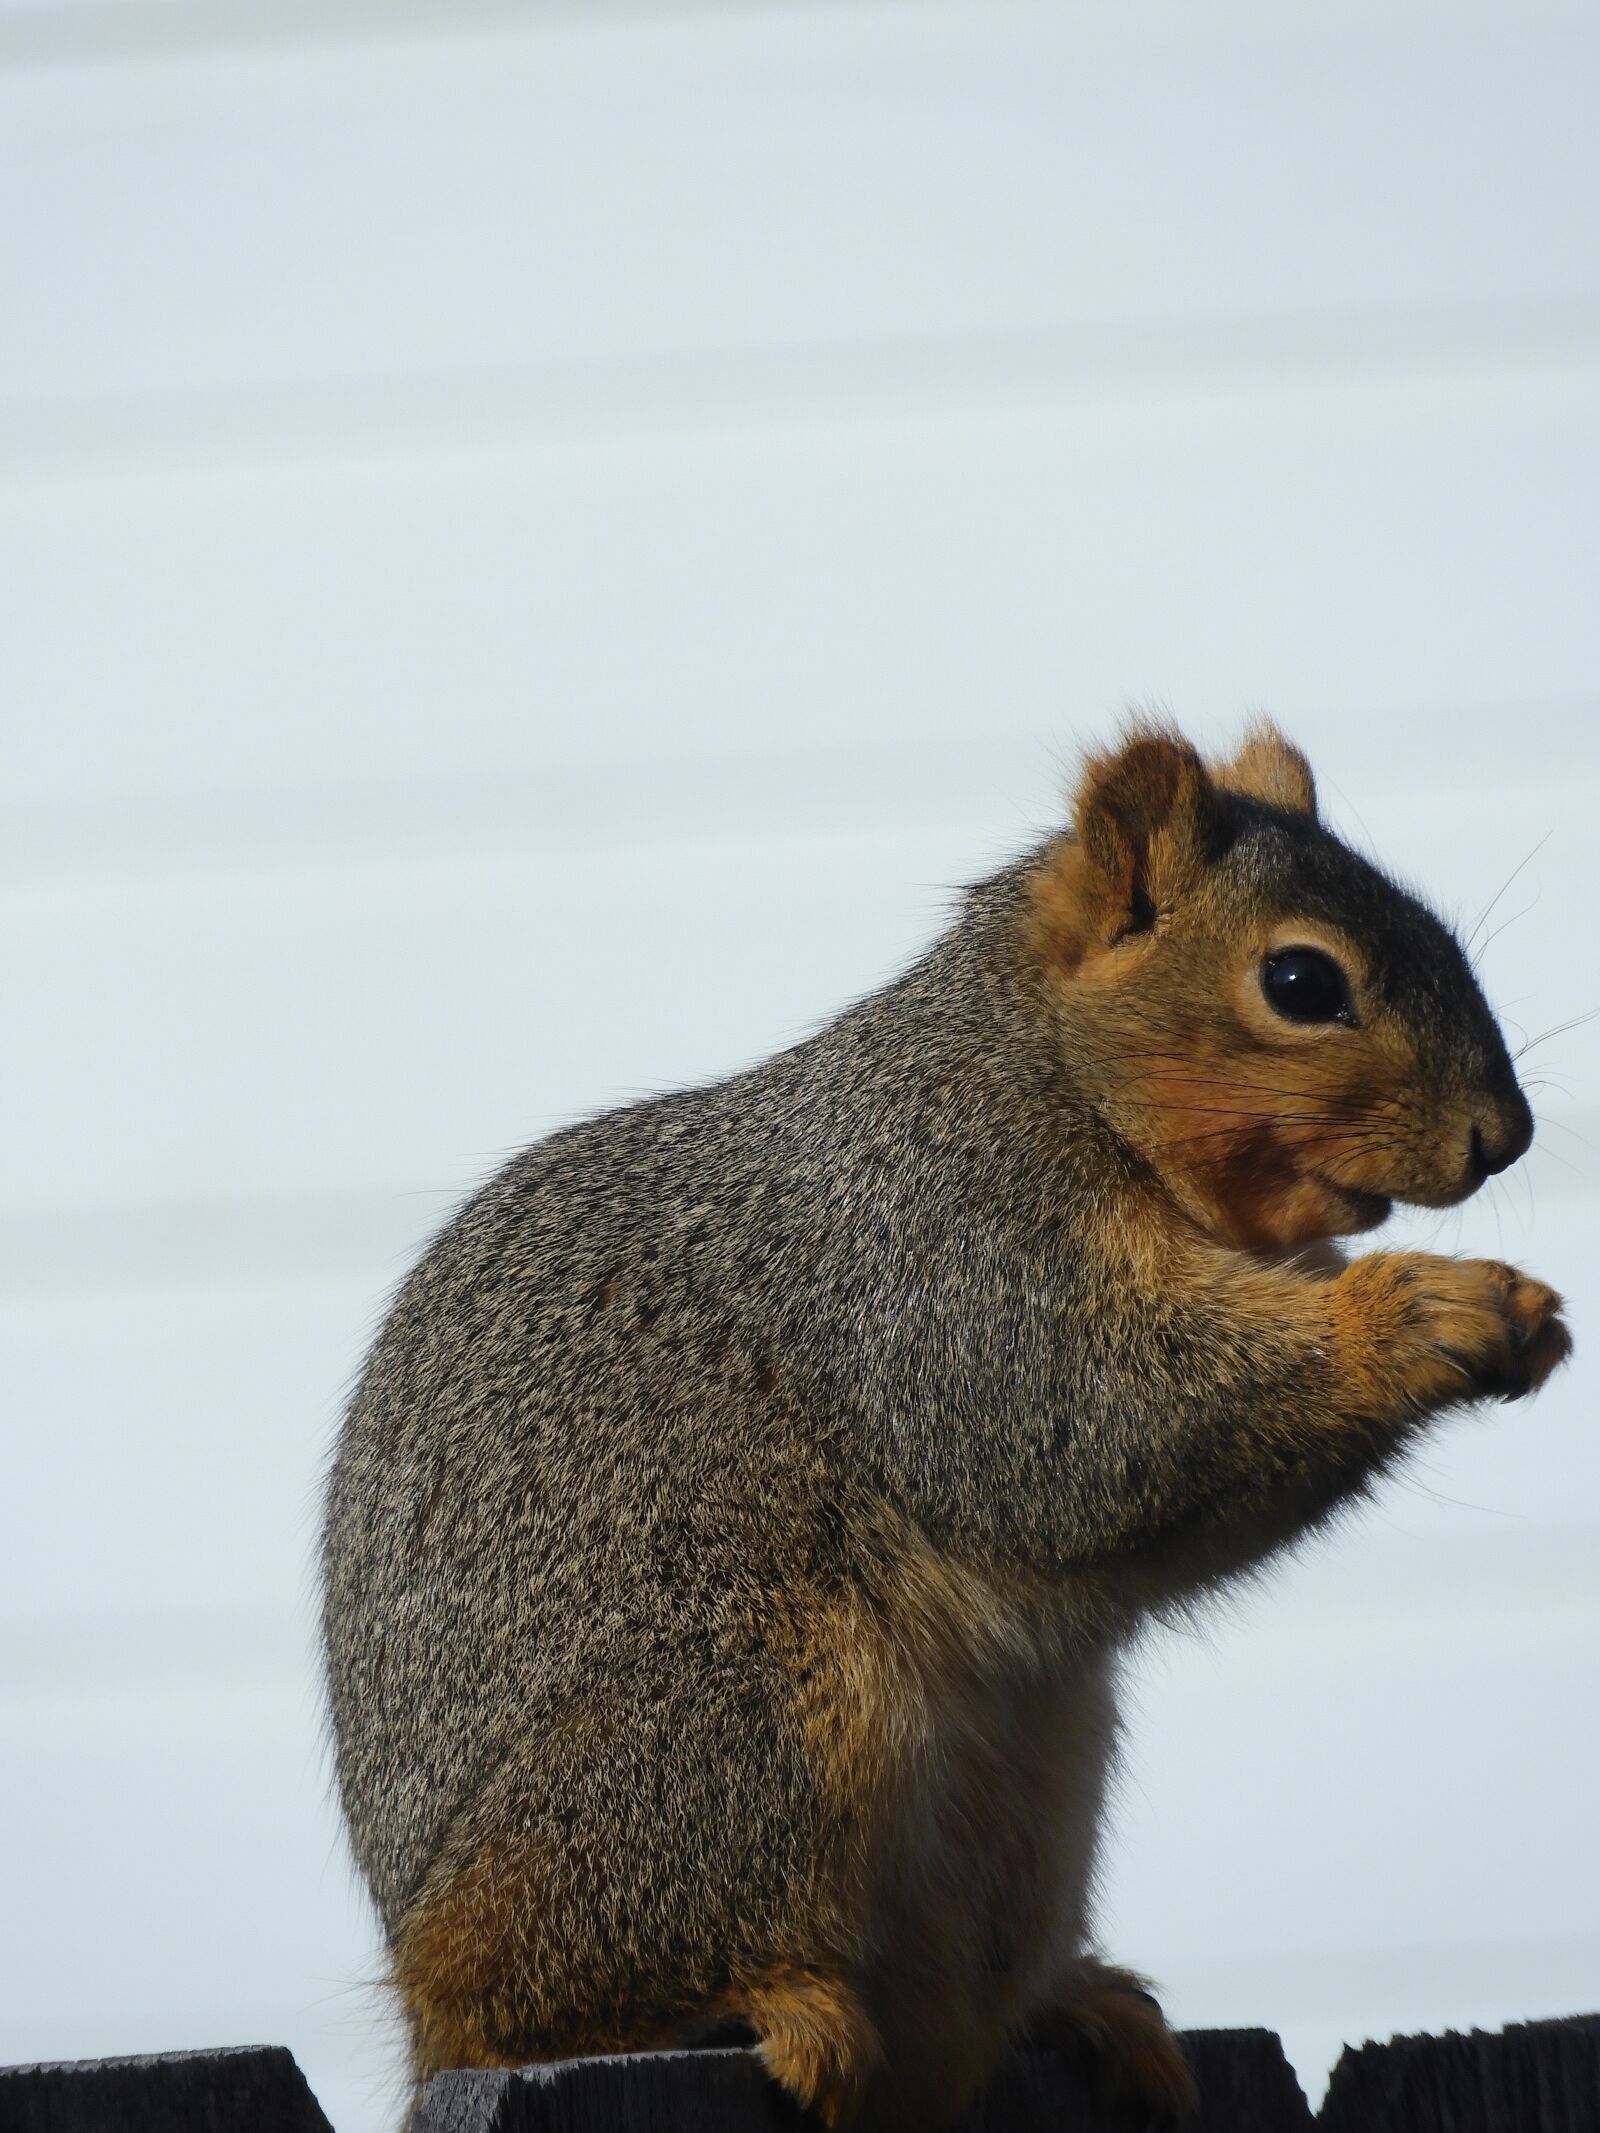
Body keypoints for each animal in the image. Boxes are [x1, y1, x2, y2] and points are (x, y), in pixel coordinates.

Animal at [320, 725, 1570, 2124]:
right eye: (1301, 981)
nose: (1505, 1137)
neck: (1039, 1071)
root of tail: (421, 1983)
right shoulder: (944, 1263)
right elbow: (1095, 1424)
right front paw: (1425, 1309)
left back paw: (1078, 2007)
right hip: (732, 1731)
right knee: (540, 1998)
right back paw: (769, 2004)